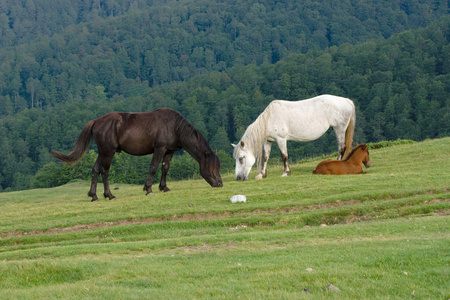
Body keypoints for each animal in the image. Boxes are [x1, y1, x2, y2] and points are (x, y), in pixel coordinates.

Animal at [51, 108, 223, 202]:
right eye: (212, 168)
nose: (220, 184)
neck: (174, 127)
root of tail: (96, 122)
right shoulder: (159, 149)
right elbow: (153, 168)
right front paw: (148, 189)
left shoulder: (169, 151)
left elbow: (165, 169)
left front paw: (164, 187)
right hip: (108, 152)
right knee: (104, 171)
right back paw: (109, 195)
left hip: (102, 152)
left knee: (95, 170)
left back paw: (94, 196)